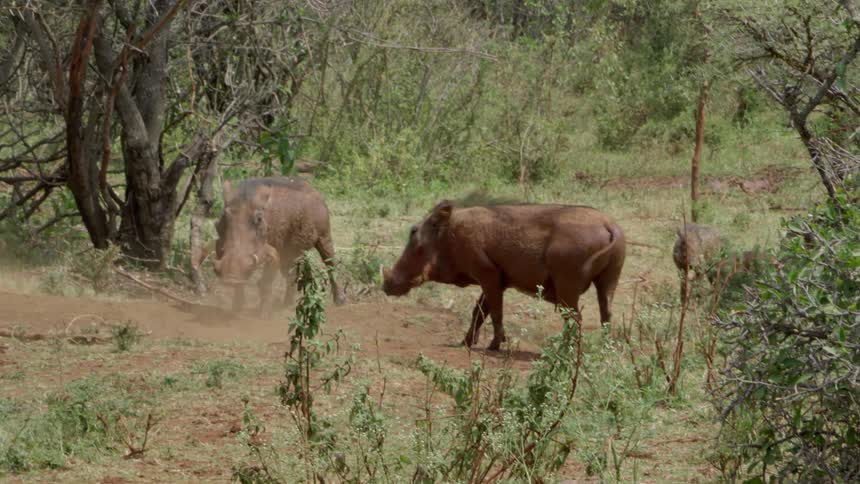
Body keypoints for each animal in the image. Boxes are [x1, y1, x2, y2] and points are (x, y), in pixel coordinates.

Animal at [213, 177, 346, 316]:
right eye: (223, 215)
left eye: (259, 218)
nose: (230, 278)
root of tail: (315, 190)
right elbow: (241, 285)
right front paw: (236, 309)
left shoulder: (272, 254)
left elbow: (265, 283)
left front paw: (263, 315)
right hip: (290, 254)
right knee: (296, 275)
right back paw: (291, 303)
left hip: (324, 237)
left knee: (331, 265)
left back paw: (340, 301)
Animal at [382, 201, 626, 350]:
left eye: (415, 236)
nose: (386, 286)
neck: (449, 236)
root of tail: (609, 225)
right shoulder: (496, 280)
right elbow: (479, 312)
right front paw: (466, 342)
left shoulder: (487, 274)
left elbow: (495, 312)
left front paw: (494, 345)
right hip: (609, 281)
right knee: (606, 315)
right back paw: (604, 348)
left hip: (568, 286)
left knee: (576, 319)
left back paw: (565, 349)